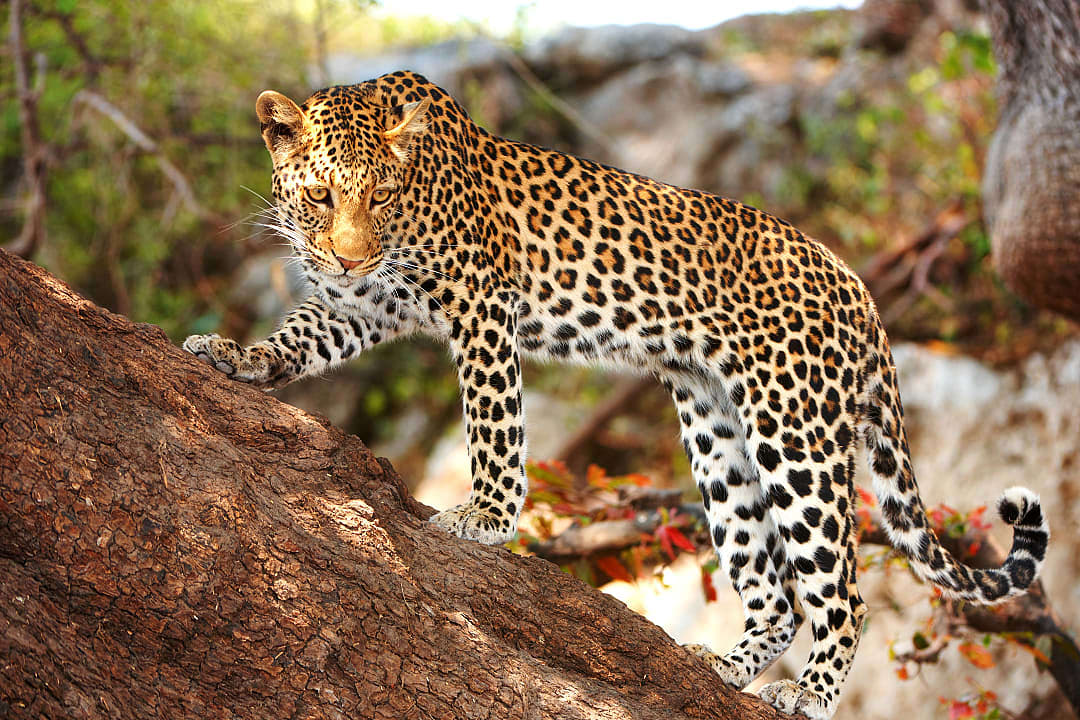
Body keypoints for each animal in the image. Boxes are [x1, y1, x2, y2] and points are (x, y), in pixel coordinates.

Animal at [183, 71, 1049, 719]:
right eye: (322, 197)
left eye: (382, 195)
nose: (348, 258)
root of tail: (859, 287)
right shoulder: (361, 306)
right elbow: (300, 335)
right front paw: (237, 356)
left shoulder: (479, 304)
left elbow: (493, 420)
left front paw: (487, 517)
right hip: (717, 431)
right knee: (774, 590)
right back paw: (725, 666)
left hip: (793, 430)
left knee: (841, 590)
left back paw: (809, 693)